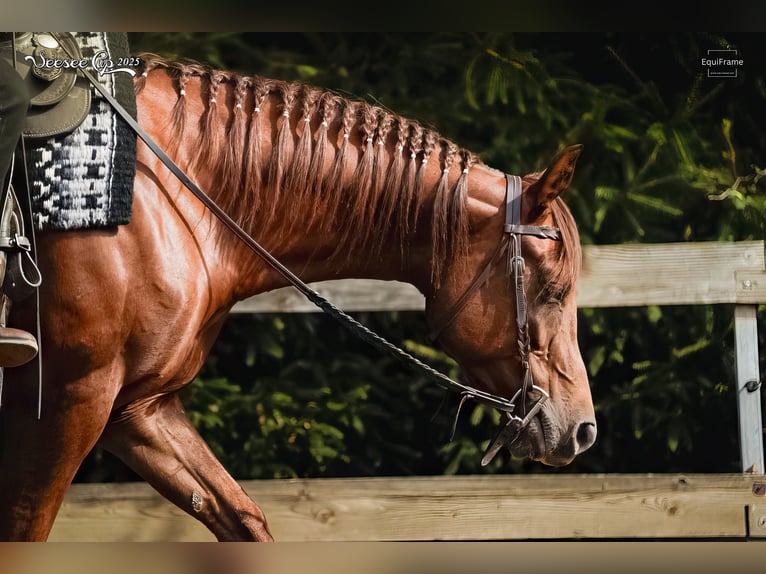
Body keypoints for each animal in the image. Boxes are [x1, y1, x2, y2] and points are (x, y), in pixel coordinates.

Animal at [0, 54, 596, 541]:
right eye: (553, 290)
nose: (583, 429)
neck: (170, 199)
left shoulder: (137, 409)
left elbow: (244, 519)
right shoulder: (67, 401)